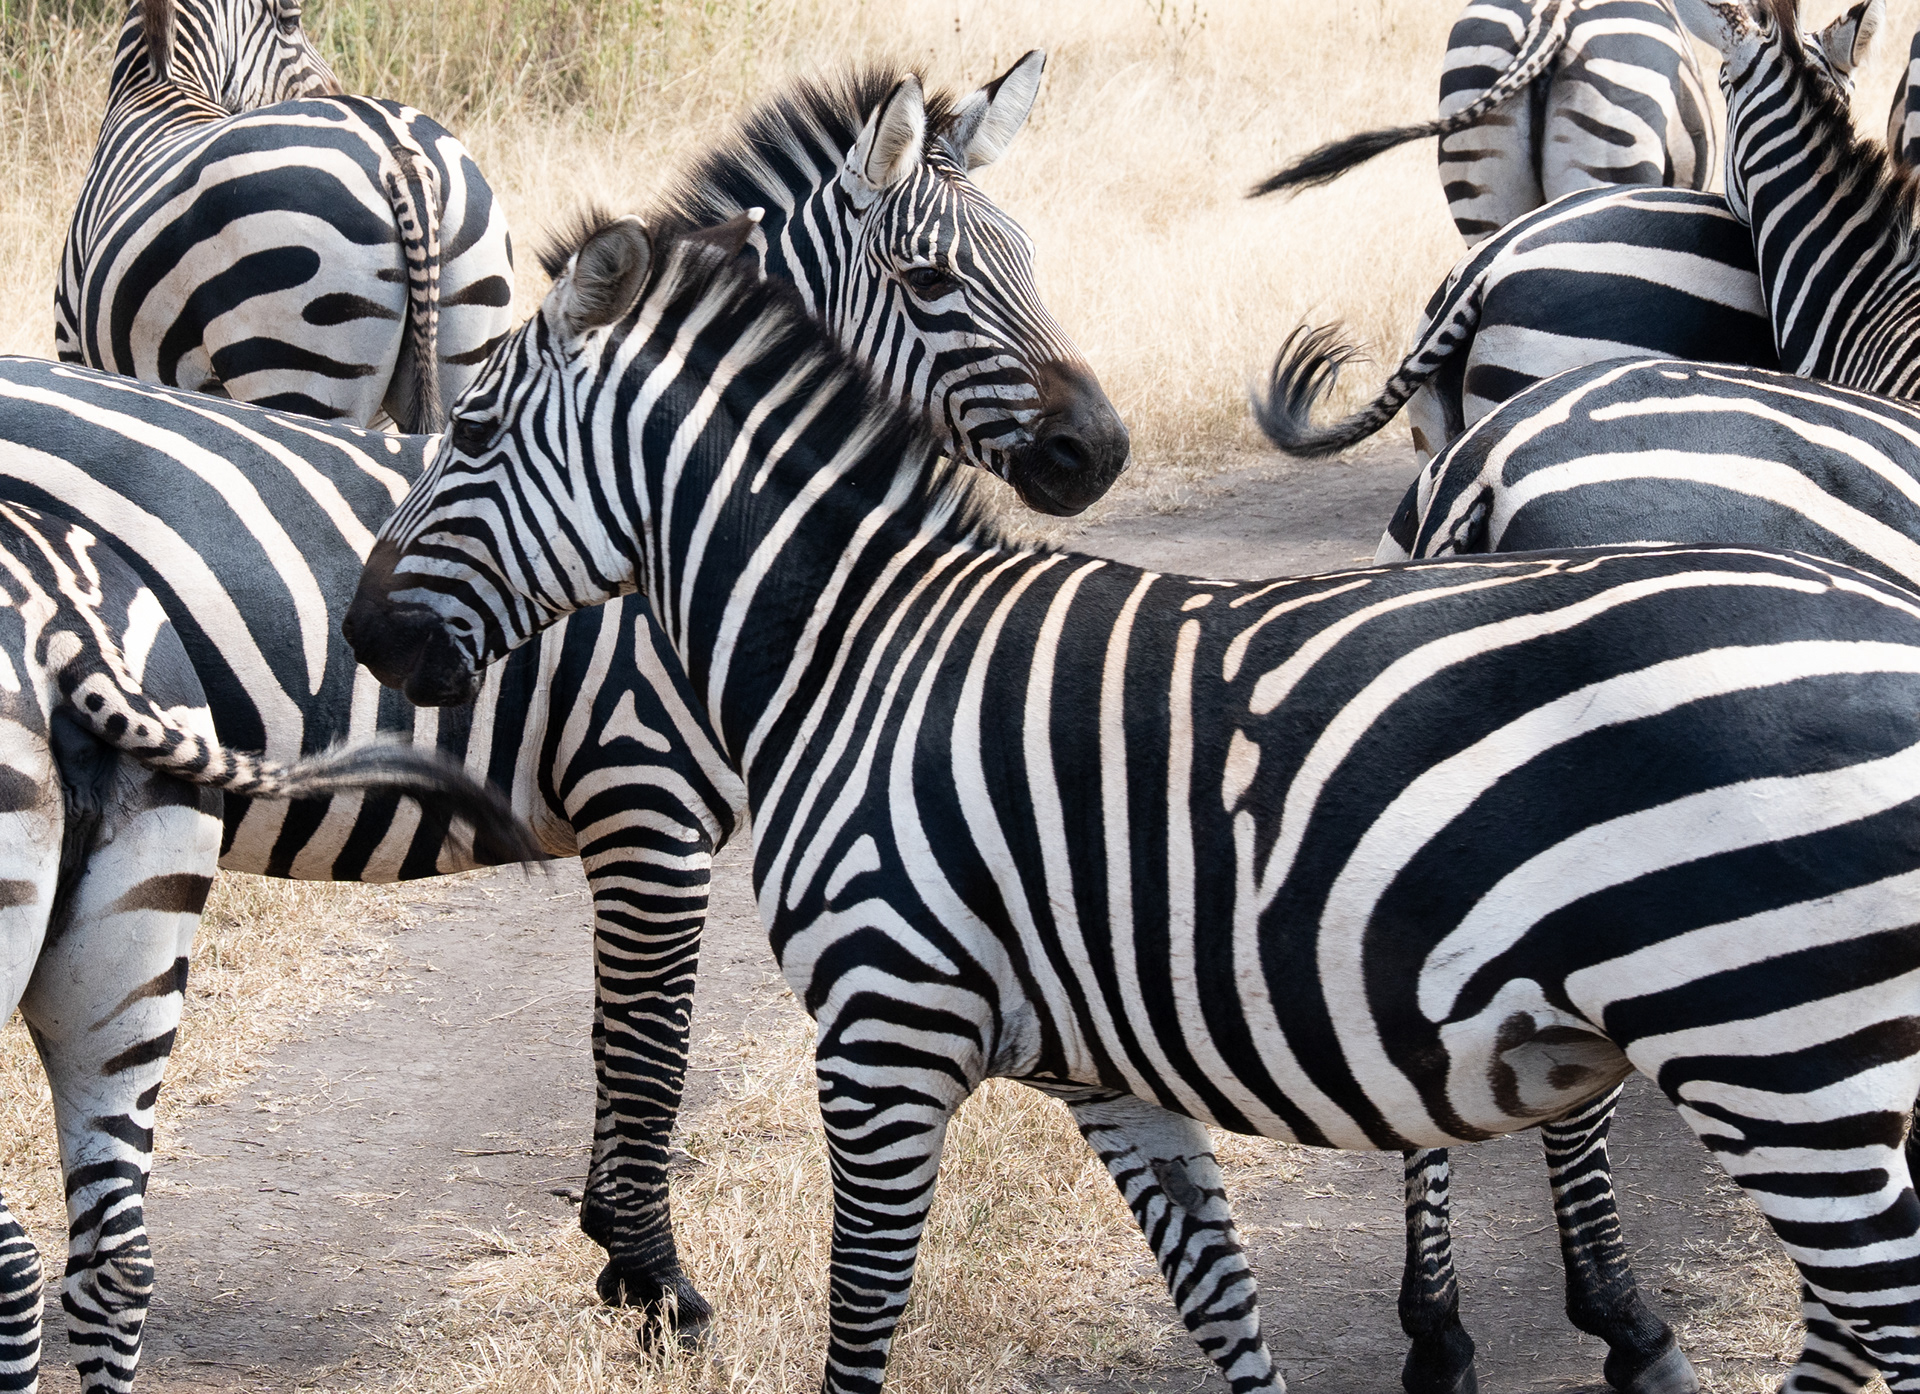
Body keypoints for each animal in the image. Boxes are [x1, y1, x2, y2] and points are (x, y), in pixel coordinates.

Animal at [56, 0, 516, 434]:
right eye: (292, 22)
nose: (334, 89)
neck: (161, 87)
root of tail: (399, 156)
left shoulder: (73, 344)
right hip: (469, 351)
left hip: (294, 367)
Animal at [347, 211, 1920, 1394]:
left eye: (470, 432)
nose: (367, 637)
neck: (849, 645)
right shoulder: (1110, 1069)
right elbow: (1221, 1305)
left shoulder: (880, 1030)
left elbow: (862, 1324)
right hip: (1818, 1060)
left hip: (1780, 1055)